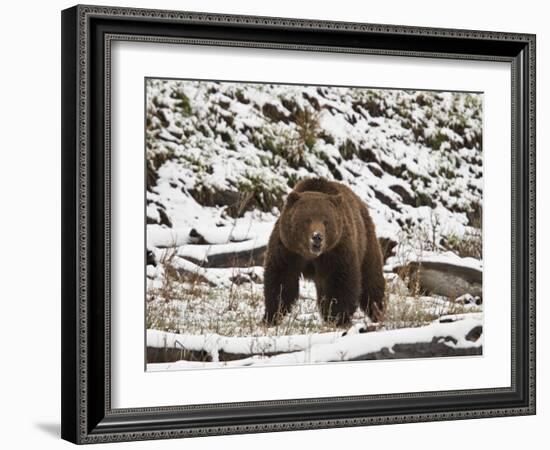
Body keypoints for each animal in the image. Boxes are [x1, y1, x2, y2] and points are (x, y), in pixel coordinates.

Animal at [264, 177, 386, 326]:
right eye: (307, 220)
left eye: (326, 221)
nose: (317, 237)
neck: (310, 255)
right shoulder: (288, 250)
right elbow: (281, 281)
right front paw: (271, 316)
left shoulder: (336, 251)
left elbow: (340, 283)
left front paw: (338, 317)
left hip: (366, 242)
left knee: (371, 280)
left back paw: (378, 312)